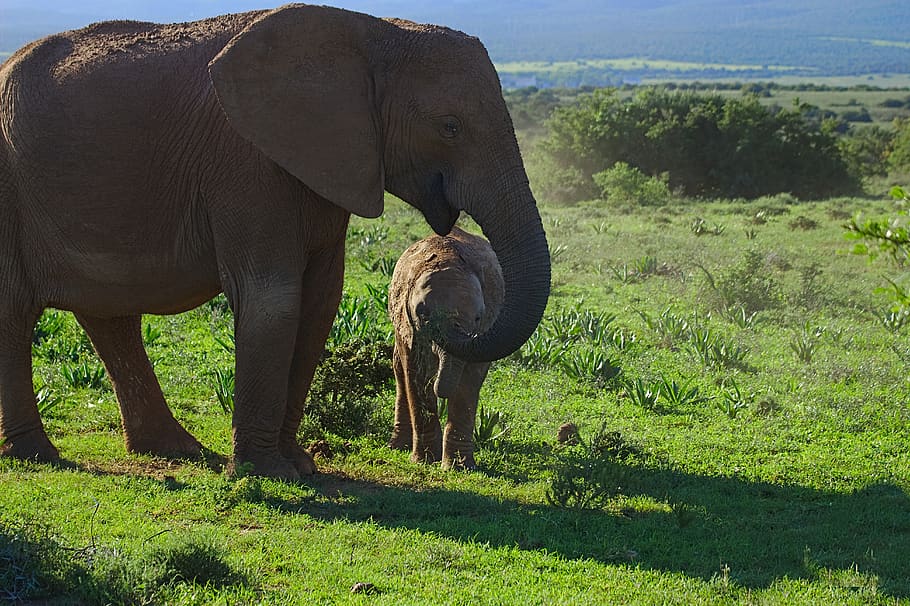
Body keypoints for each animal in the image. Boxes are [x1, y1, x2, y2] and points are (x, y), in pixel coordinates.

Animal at [387, 227, 503, 470]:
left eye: (478, 318)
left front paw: (459, 467)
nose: (438, 389)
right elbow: (416, 376)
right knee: (400, 369)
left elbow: (468, 384)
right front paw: (424, 461)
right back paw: (397, 447)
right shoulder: (409, 324)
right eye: (423, 313)